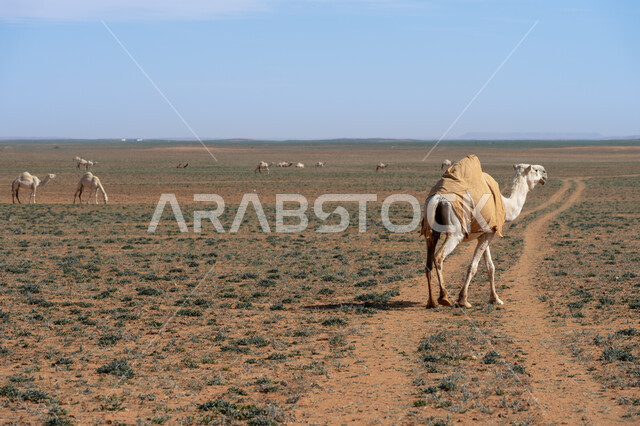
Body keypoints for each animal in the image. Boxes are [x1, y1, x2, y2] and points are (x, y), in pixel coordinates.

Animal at [422, 161, 547, 308]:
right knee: (439, 256)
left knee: (428, 261)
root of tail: (438, 199)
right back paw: (444, 297)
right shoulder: (488, 234)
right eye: (536, 169)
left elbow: (490, 267)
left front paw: (495, 299)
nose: (545, 173)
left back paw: (432, 302)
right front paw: (463, 300)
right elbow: (473, 267)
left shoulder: (486, 234)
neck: (506, 206)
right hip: (456, 232)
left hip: (431, 231)